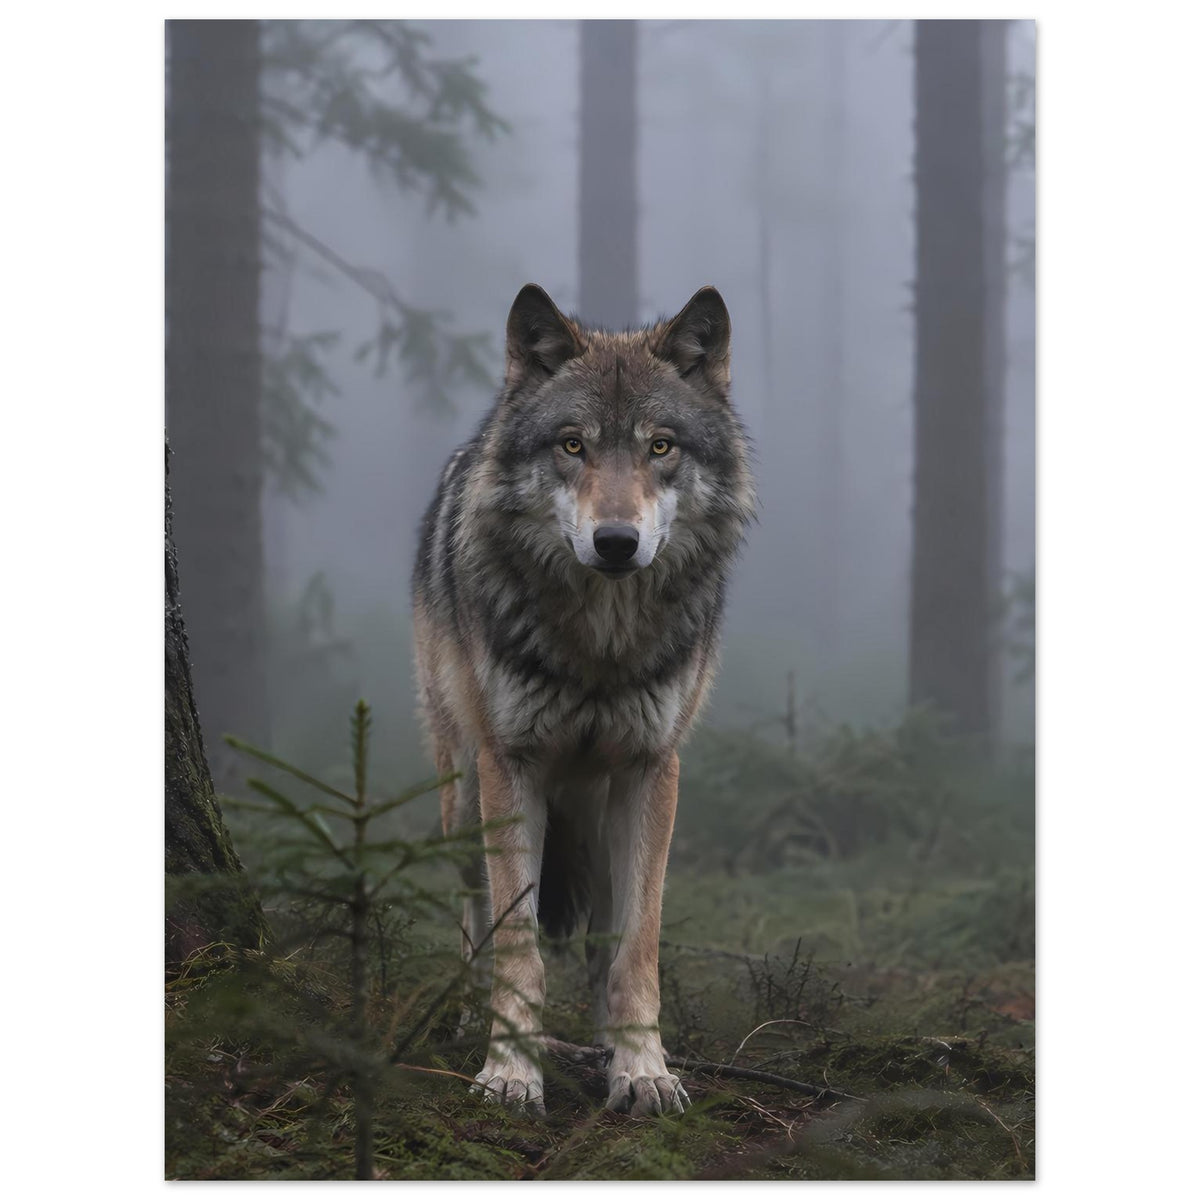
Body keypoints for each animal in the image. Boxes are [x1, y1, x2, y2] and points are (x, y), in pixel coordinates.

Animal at [412, 283, 754, 1117]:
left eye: (661, 447)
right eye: (572, 446)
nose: (616, 543)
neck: (601, 645)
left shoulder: (651, 770)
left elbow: (637, 948)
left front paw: (643, 1069)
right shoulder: (512, 766)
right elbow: (518, 946)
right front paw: (509, 1072)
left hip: (598, 817)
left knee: (602, 936)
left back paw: (605, 1045)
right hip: (463, 797)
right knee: (473, 917)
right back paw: (464, 1018)